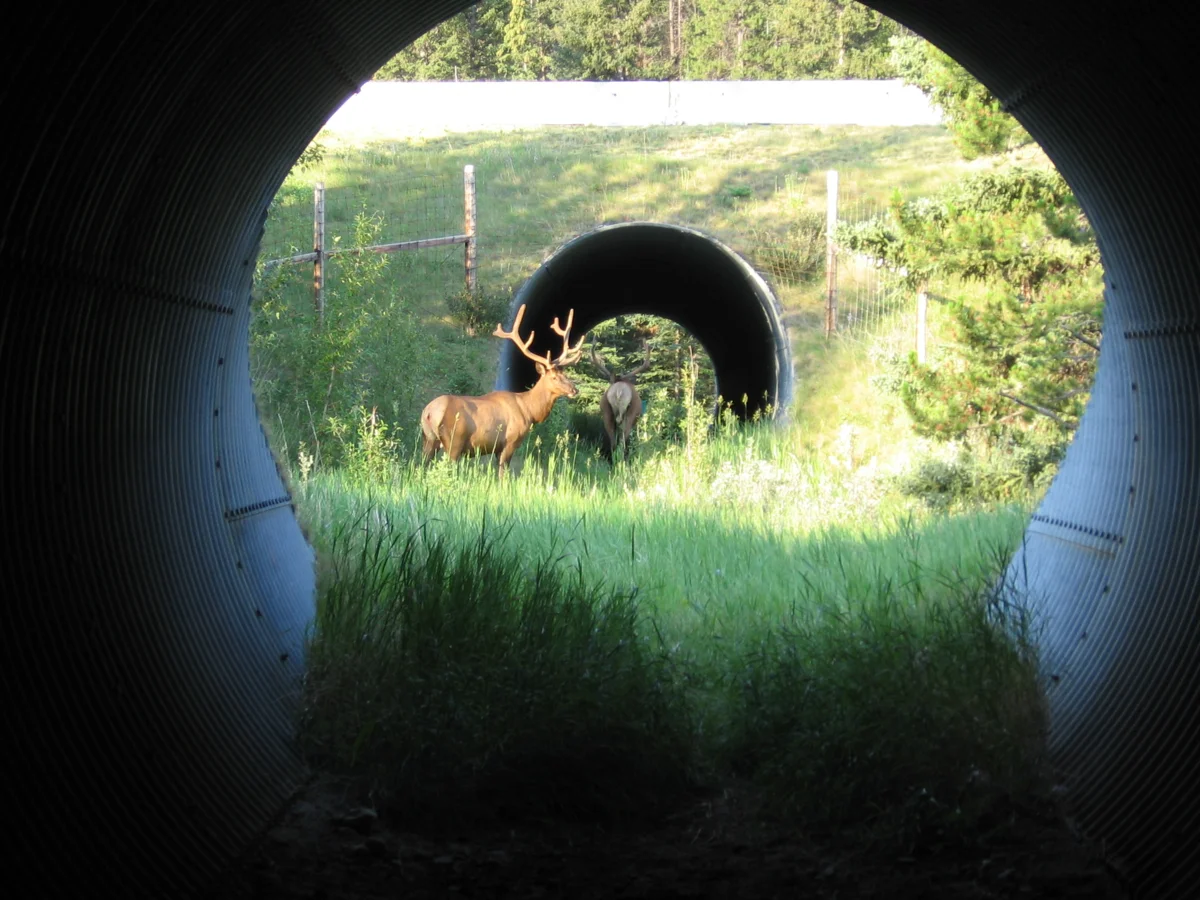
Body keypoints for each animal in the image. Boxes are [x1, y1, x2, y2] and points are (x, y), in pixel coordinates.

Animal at [422, 303, 585, 475]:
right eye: (554, 377)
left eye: (565, 374)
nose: (574, 390)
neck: (529, 411)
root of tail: (429, 412)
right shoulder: (510, 442)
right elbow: (503, 474)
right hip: (454, 440)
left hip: (428, 439)